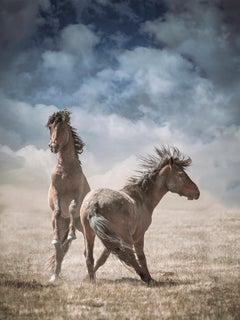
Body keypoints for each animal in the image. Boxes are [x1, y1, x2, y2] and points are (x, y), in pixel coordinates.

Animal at [45, 110, 90, 282]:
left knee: (86, 249)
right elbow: (58, 210)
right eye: (50, 127)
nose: (53, 146)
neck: (66, 168)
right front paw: (56, 238)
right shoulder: (57, 192)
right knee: (59, 251)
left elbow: (71, 207)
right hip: (58, 224)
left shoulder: (76, 192)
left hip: (83, 227)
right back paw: (54, 276)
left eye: (63, 127)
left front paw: (71, 235)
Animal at [79, 146, 200, 284]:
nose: (197, 192)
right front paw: (149, 278)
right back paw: (143, 276)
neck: (142, 197)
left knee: (90, 257)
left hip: (89, 234)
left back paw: (92, 280)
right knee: (129, 254)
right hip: (123, 237)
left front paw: (88, 278)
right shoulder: (138, 236)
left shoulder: (111, 238)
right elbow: (141, 256)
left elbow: (102, 258)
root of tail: (94, 203)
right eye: (181, 174)